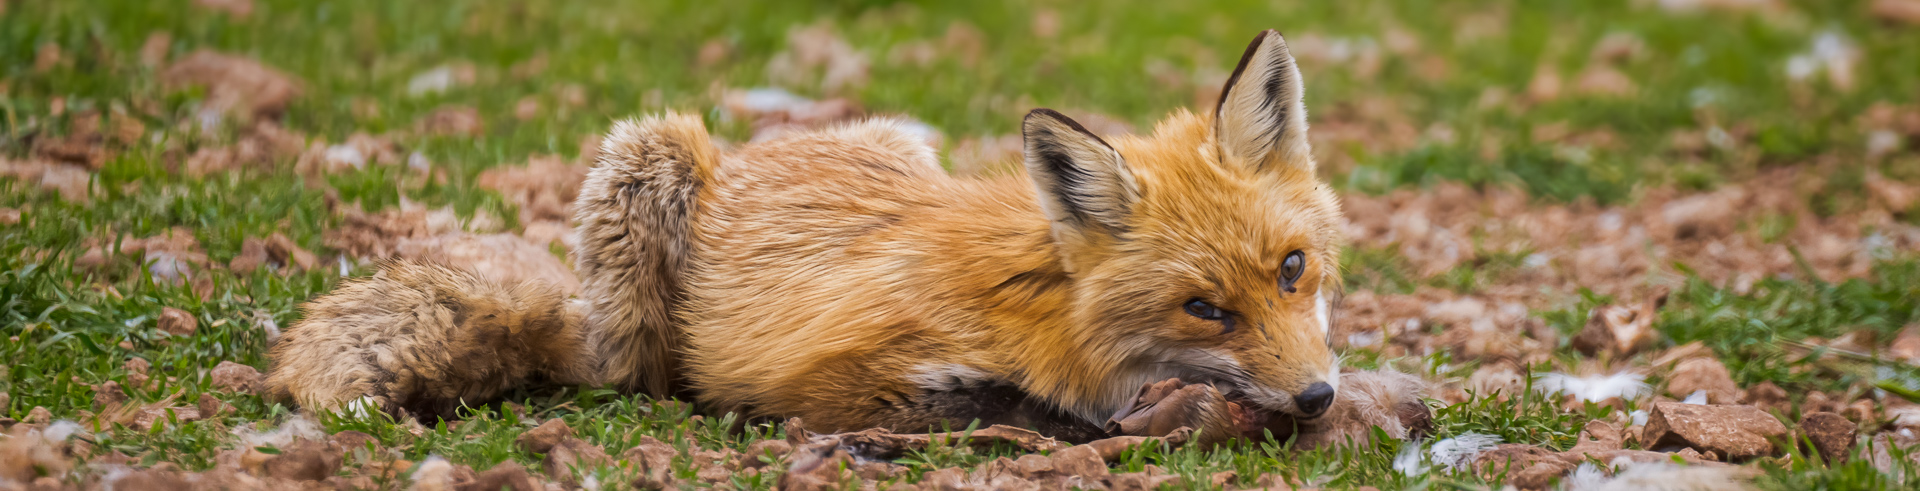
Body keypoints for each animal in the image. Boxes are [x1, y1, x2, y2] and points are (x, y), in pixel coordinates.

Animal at [266, 29, 1428, 444]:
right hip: (648, 166)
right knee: (634, 373)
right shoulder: (830, 374)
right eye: (1204, 306)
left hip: (906, 138)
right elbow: (1014, 404)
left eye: (1293, 269)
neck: (1062, 318)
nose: (1316, 396)